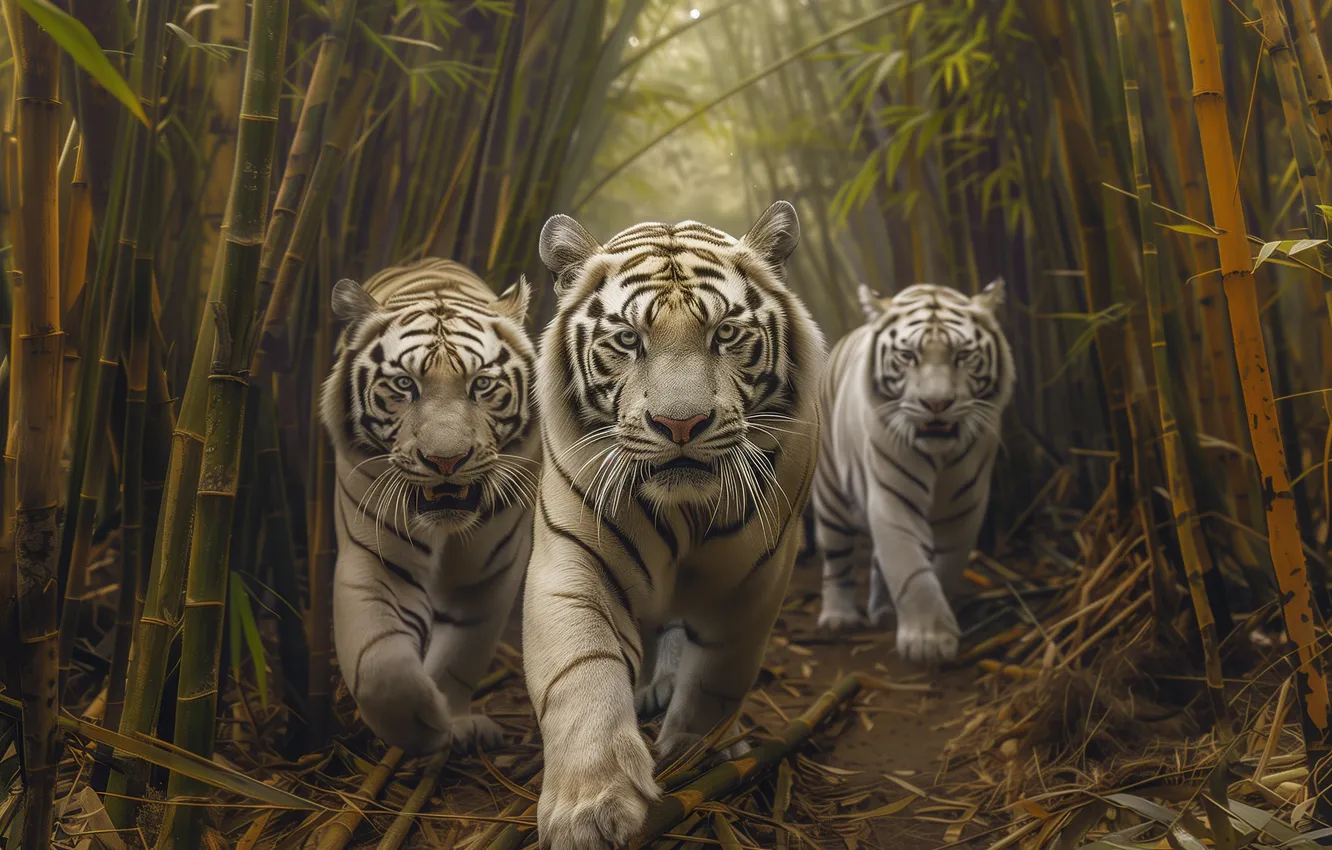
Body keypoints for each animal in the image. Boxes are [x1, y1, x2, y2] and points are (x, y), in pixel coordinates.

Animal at [319, 257, 539, 755]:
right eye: (404, 384)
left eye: (481, 385)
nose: (446, 461)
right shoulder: (376, 561)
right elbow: (380, 667)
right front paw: (424, 725)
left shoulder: (490, 574)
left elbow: (463, 651)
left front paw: (452, 721)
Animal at [521, 201, 825, 849]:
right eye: (628, 340)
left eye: (725, 334)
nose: (680, 424)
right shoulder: (572, 559)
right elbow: (580, 671)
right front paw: (590, 809)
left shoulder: (757, 577)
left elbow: (718, 674)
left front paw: (697, 755)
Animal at [811, 279, 1014, 663]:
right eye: (908, 356)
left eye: (962, 356)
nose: (937, 403)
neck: (940, 456)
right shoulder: (892, 498)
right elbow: (910, 566)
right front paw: (926, 641)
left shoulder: (966, 506)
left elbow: (943, 566)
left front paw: (933, 631)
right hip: (831, 494)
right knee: (835, 557)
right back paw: (837, 617)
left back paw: (883, 611)